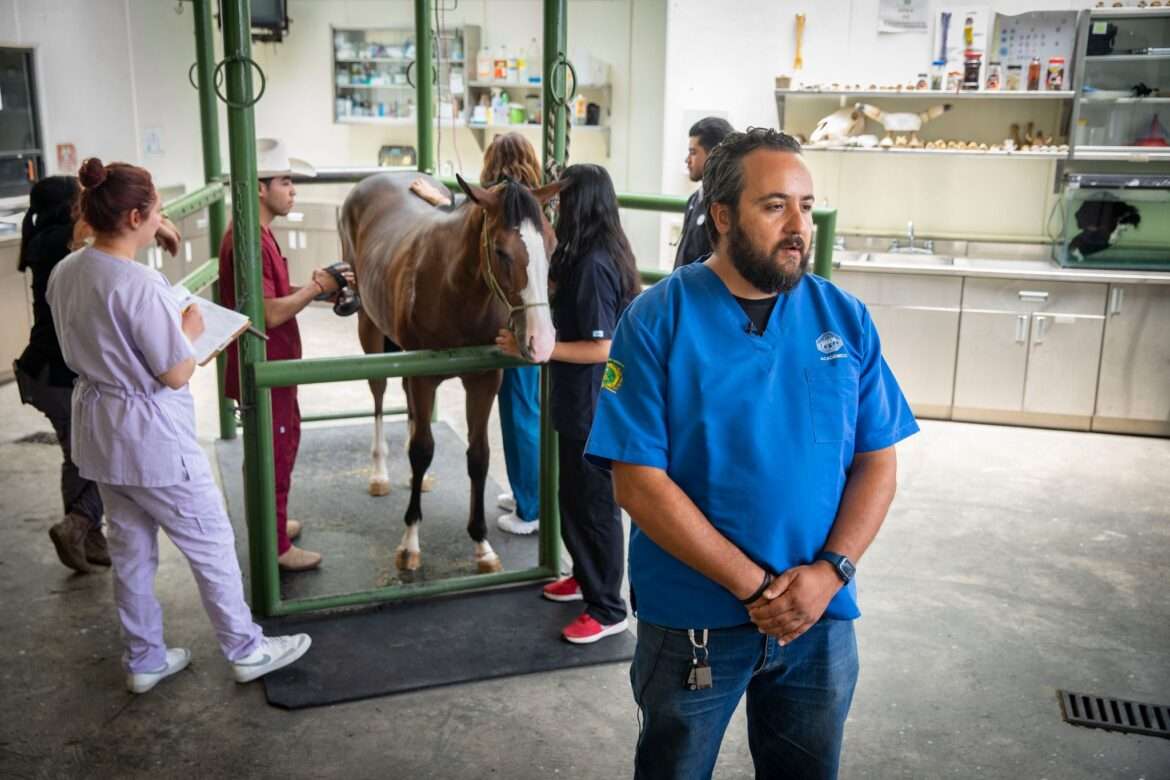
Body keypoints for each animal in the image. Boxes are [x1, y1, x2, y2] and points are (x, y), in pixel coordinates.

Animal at [339, 170, 561, 573]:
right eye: (501, 251)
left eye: (552, 247)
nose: (542, 340)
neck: (453, 287)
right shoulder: (424, 377)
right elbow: (422, 449)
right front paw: (410, 543)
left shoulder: (483, 380)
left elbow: (479, 456)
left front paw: (482, 545)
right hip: (370, 329)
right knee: (379, 391)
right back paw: (379, 473)